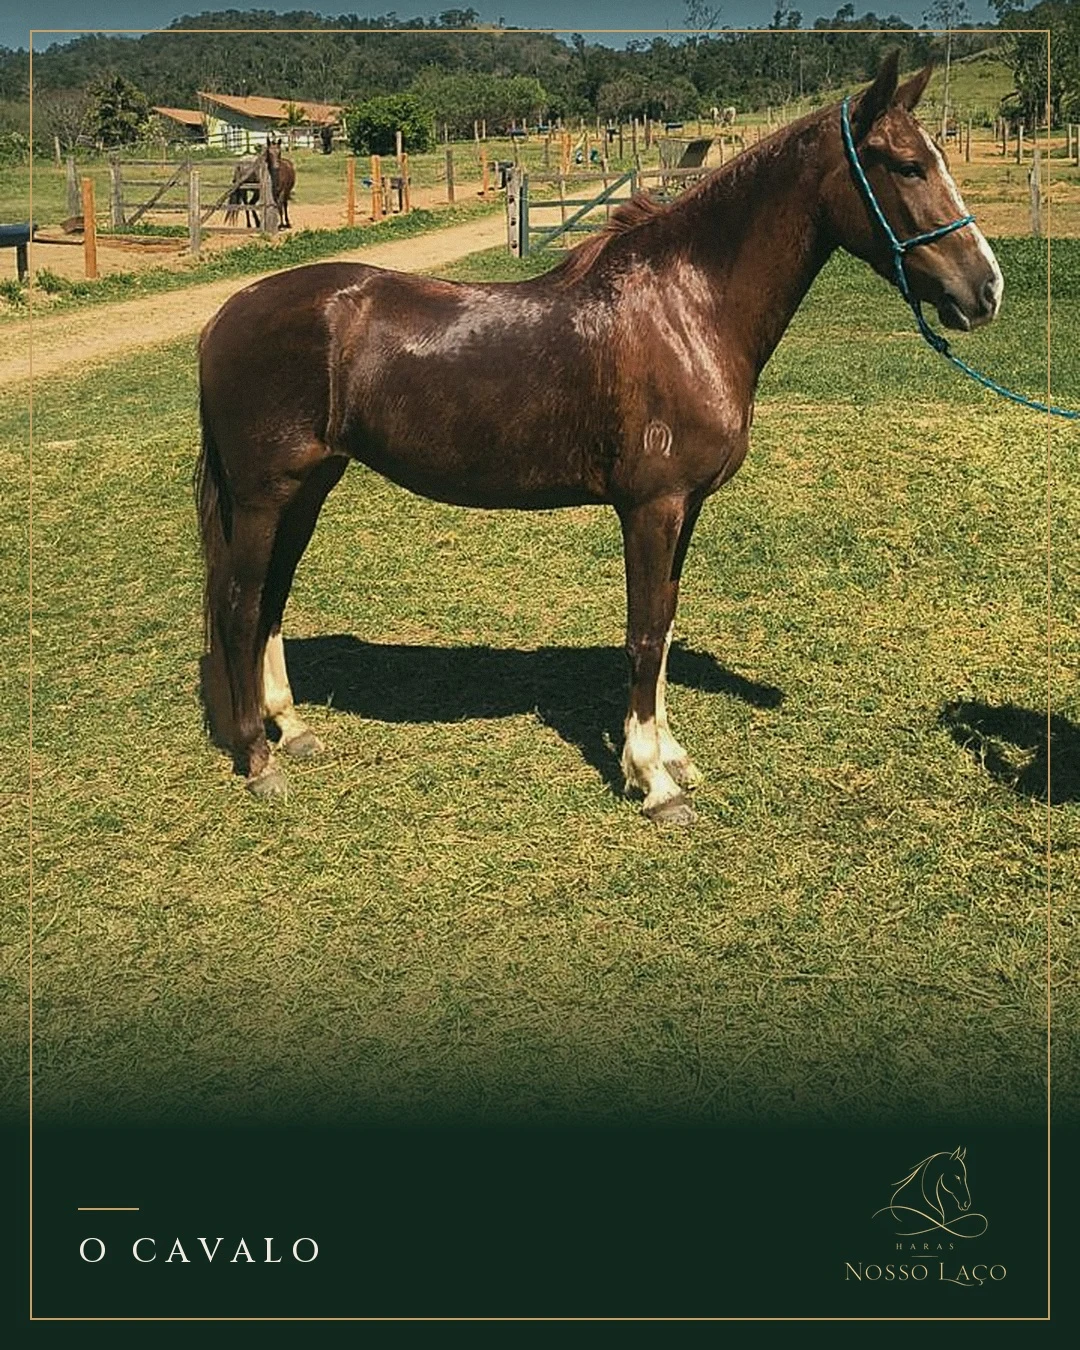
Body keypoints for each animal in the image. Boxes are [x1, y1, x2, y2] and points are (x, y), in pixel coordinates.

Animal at [195, 53, 1002, 818]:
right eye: (906, 165)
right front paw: (652, 782)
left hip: (308, 488)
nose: (985, 289)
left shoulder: (685, 508)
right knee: (240, 604)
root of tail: (227, 313)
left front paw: (670, 755)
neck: (688, 306)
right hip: (266, 496)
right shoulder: (653, 506)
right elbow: (643, 634)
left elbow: (665, 626)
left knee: (271, 599)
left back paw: (292, 730)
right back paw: (258, 760)